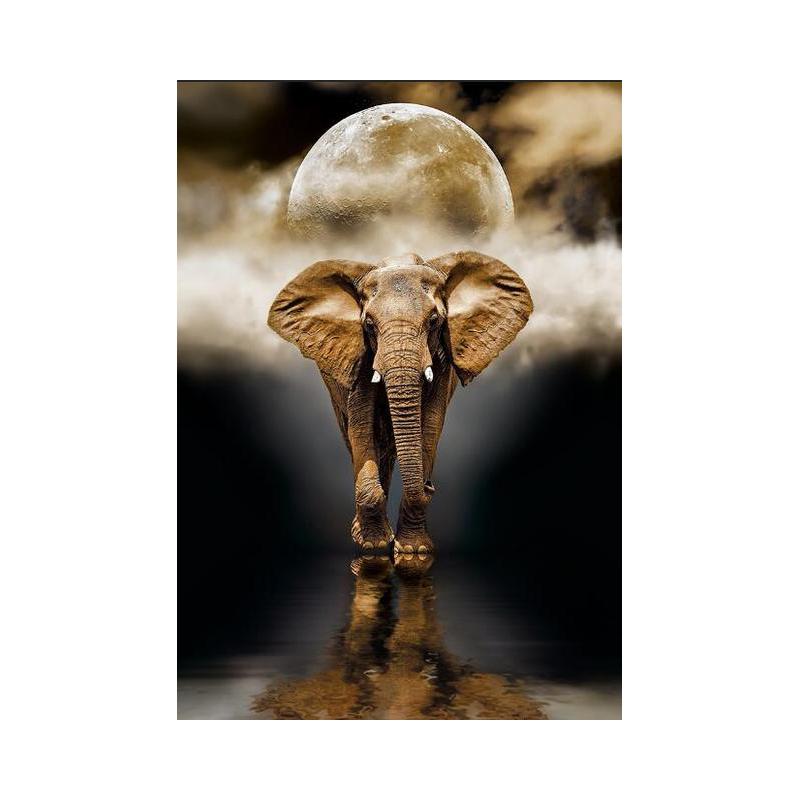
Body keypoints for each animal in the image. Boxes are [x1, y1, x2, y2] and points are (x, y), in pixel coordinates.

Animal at [268, 251, 533, 554]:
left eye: (433, 321)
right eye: (369, 324)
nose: (430, 486)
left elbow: (430, 425)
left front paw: (412, 551)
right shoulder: (360, 355)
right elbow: (361, 425)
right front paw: (373, 546)